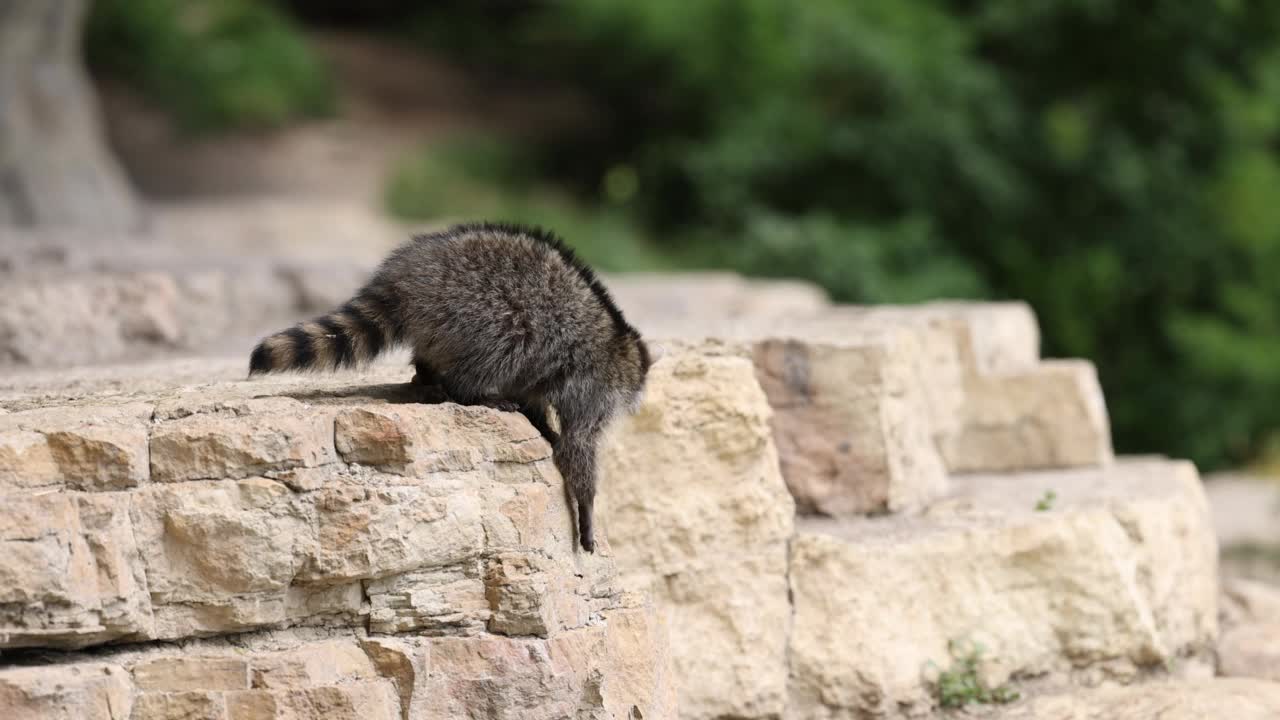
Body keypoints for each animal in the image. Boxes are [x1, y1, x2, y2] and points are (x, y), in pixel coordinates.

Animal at [248, 221, 655, 550]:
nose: (634, 405)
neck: (618, 343)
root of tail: (408, 275)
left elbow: (540, 404)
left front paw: (542, 422)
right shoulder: (591, 385)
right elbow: (578, 445)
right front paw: (586, 508)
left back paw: (428, 376)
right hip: (479, 307)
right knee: (505, 342)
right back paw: (472, 391)